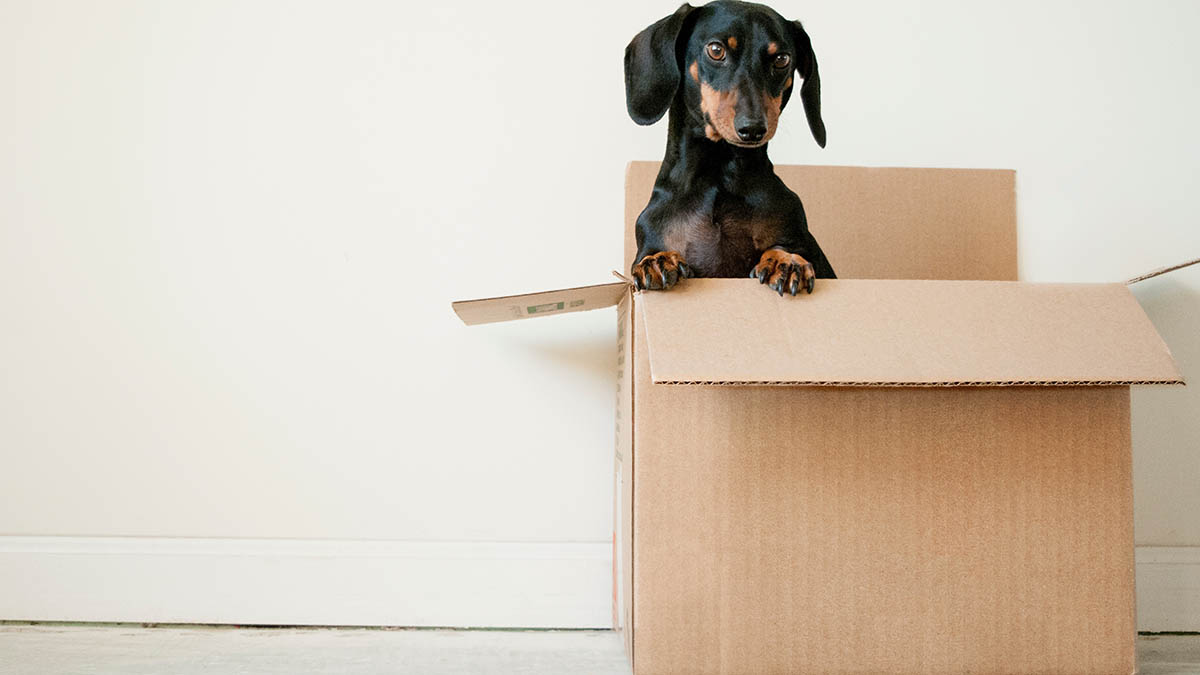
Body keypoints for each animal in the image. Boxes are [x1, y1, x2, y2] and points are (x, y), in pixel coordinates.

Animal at [628, 0, 835, 294]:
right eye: (716, 50)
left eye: (782, 59)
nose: (753, 129)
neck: (719, 174)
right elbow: (652, 254)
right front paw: (657, 260)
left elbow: (787, 248)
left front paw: (785, 260)